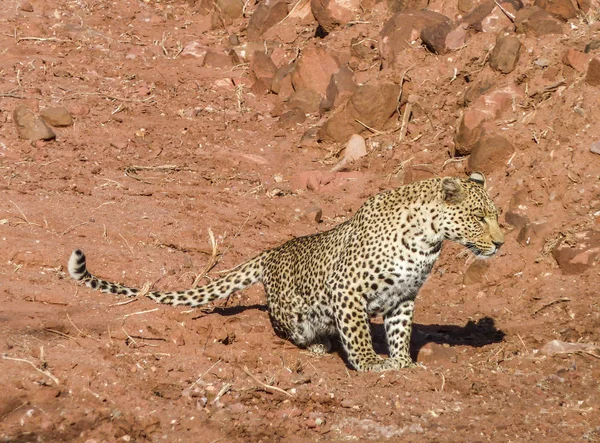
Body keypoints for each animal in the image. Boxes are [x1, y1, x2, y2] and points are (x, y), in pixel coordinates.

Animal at [68, 172, 504, 372]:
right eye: (479, 218)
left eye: (495, 216)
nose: (501, 244)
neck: (429, 241)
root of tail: (272, 251)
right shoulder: (349, 290)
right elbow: (359, 334)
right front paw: (369, 363)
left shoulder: (404, 297)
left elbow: (400, 334)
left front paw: (403, 363)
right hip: (293, 313)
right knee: (286, 328)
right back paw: (316, 346)